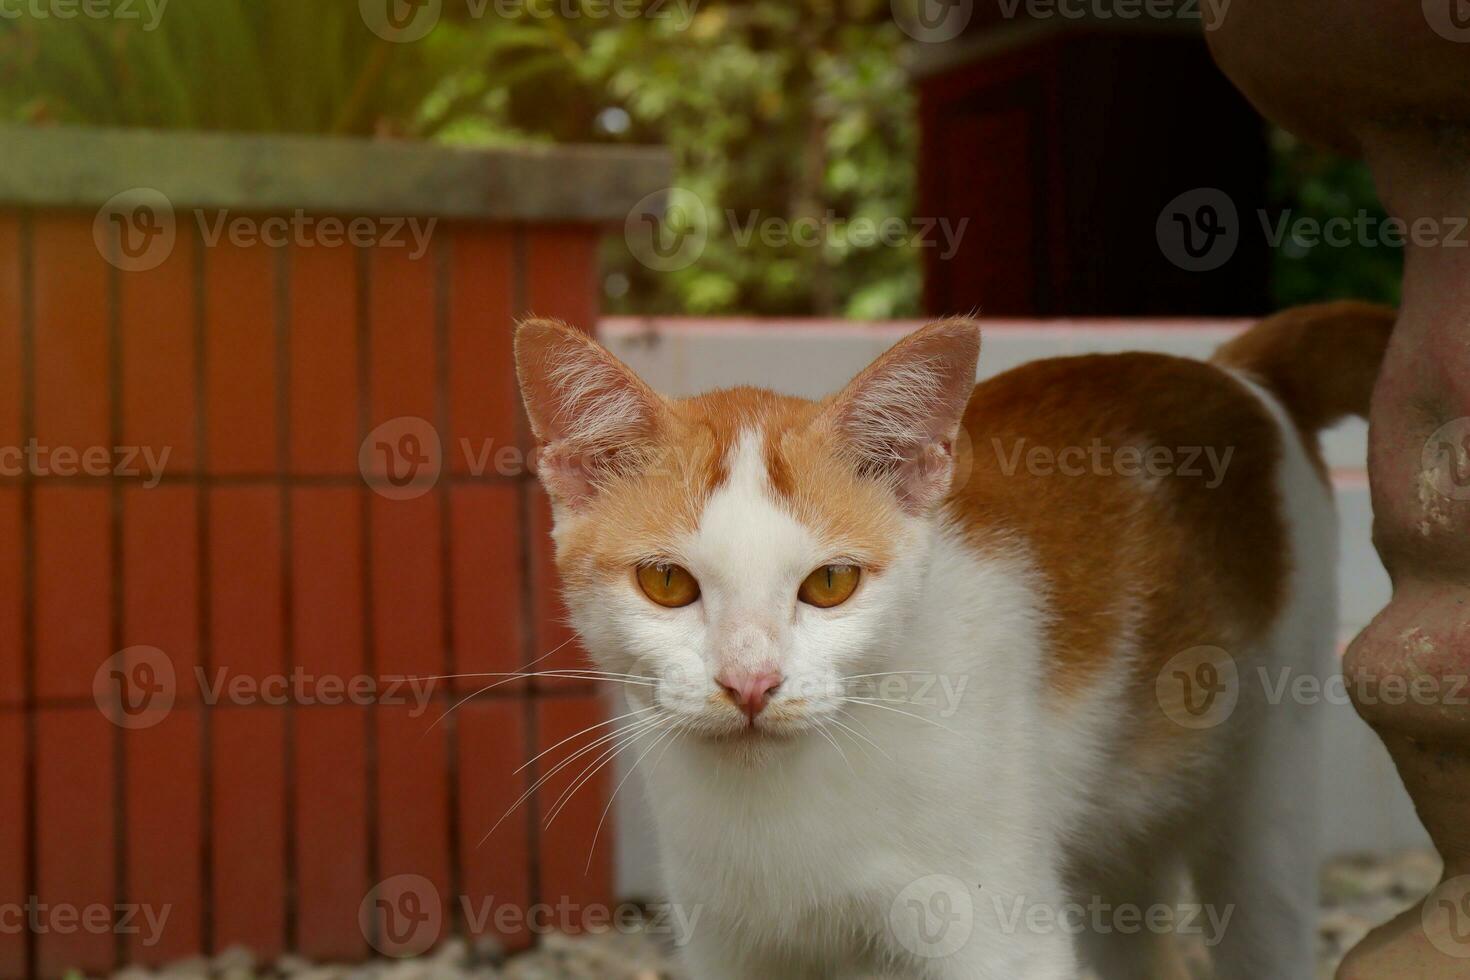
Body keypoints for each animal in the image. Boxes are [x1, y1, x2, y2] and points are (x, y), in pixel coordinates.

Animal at [514, 302, 1387, 975]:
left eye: (830, 584)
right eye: (668, 583)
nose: (751, 683)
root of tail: (1233, 372)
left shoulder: (999, 937)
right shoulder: (732, 945)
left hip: (1264, 798)